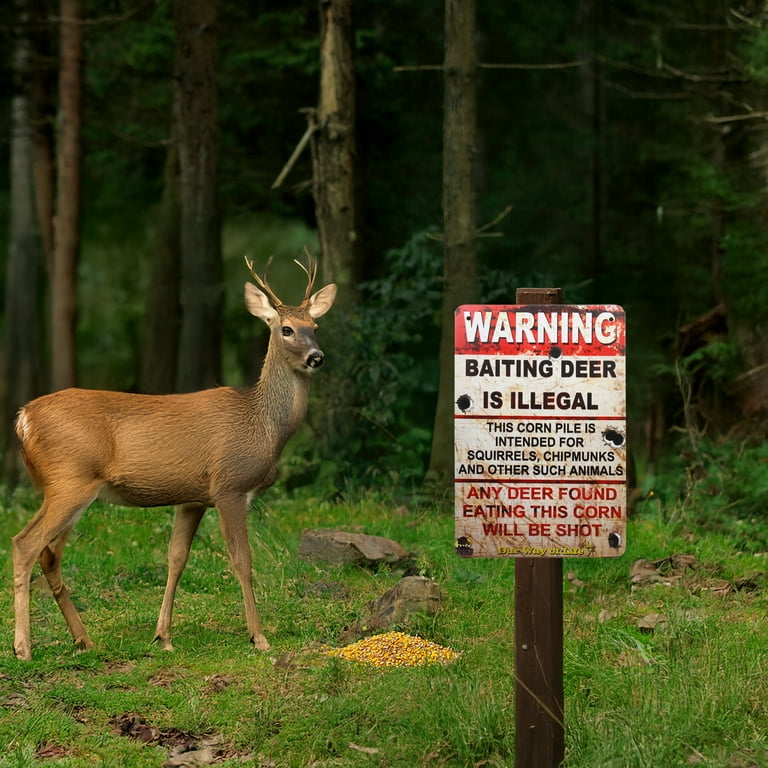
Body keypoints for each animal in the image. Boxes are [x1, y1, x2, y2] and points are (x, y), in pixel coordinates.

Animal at [11, 253, 336, 661]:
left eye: (316, 326)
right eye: (287, 329)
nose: (317, 357)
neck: (262, 424)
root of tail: (23, 418)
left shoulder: (193, 498)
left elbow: (176, 558)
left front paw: (163, 636)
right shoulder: (229, 486)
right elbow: (242, 560)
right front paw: (259, 637)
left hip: (65, 487)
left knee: (49, 555)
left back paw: (84, 640)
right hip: (70, 481)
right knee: (24, 544)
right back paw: (24, 648)